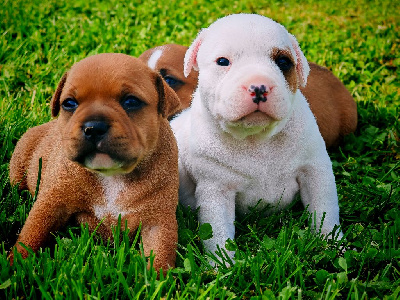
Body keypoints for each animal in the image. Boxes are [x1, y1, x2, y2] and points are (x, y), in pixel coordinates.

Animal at [9, 53, 181, 272]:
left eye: (131, 101)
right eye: (69, 103)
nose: (93, 127)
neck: (112, 175)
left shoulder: (158, 220)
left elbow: (160, 253)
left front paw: (157, 279)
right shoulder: (52, 203)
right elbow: (32, 233)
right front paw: (13, 264)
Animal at [170, 14, 342, 256]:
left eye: (283, 62)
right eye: (222, 61)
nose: (259, 87)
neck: (256, 140)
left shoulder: (314, 170)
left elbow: (324, 210)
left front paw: (335, 246)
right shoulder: (216, 190)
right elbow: (218, 233)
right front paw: (224, 262)